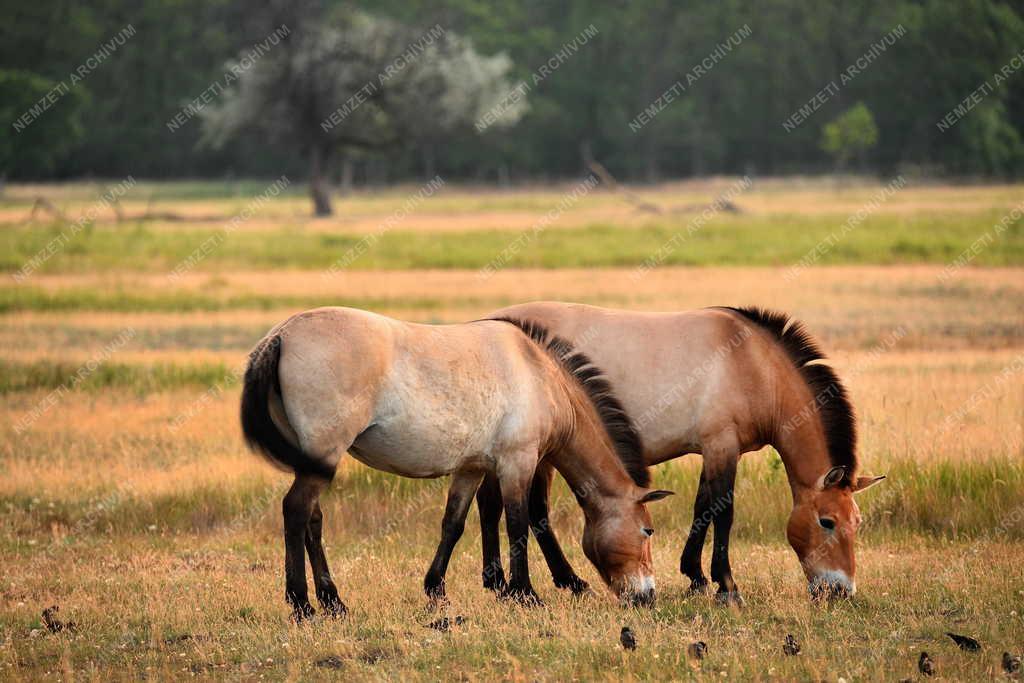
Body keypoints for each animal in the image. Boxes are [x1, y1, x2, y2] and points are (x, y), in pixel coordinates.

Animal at [238, 307, 671, 618]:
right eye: (647, 530)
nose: (646, 595)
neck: (540, 376)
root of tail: (281, 336)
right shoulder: (517, 463)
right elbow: (519, 524)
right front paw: (526, 594)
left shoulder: (472, 467)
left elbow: (455, 524)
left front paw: (437, 590)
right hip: (323, 457)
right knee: (296, 511)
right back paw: (303, 605)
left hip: (316, 461)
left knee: (312, 520)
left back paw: (333, 602)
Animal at [475, 305, 884, 602]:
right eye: (827, 522)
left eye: (858, 522)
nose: (841, 591)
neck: (754, 365)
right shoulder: (722, 445)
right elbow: (723, 511)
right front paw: (726, 586)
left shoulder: (714, 450)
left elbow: (703, 506)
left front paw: (696, 577)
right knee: (531, 511)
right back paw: (564, 582)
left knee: (491, 504)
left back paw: (500, 582)